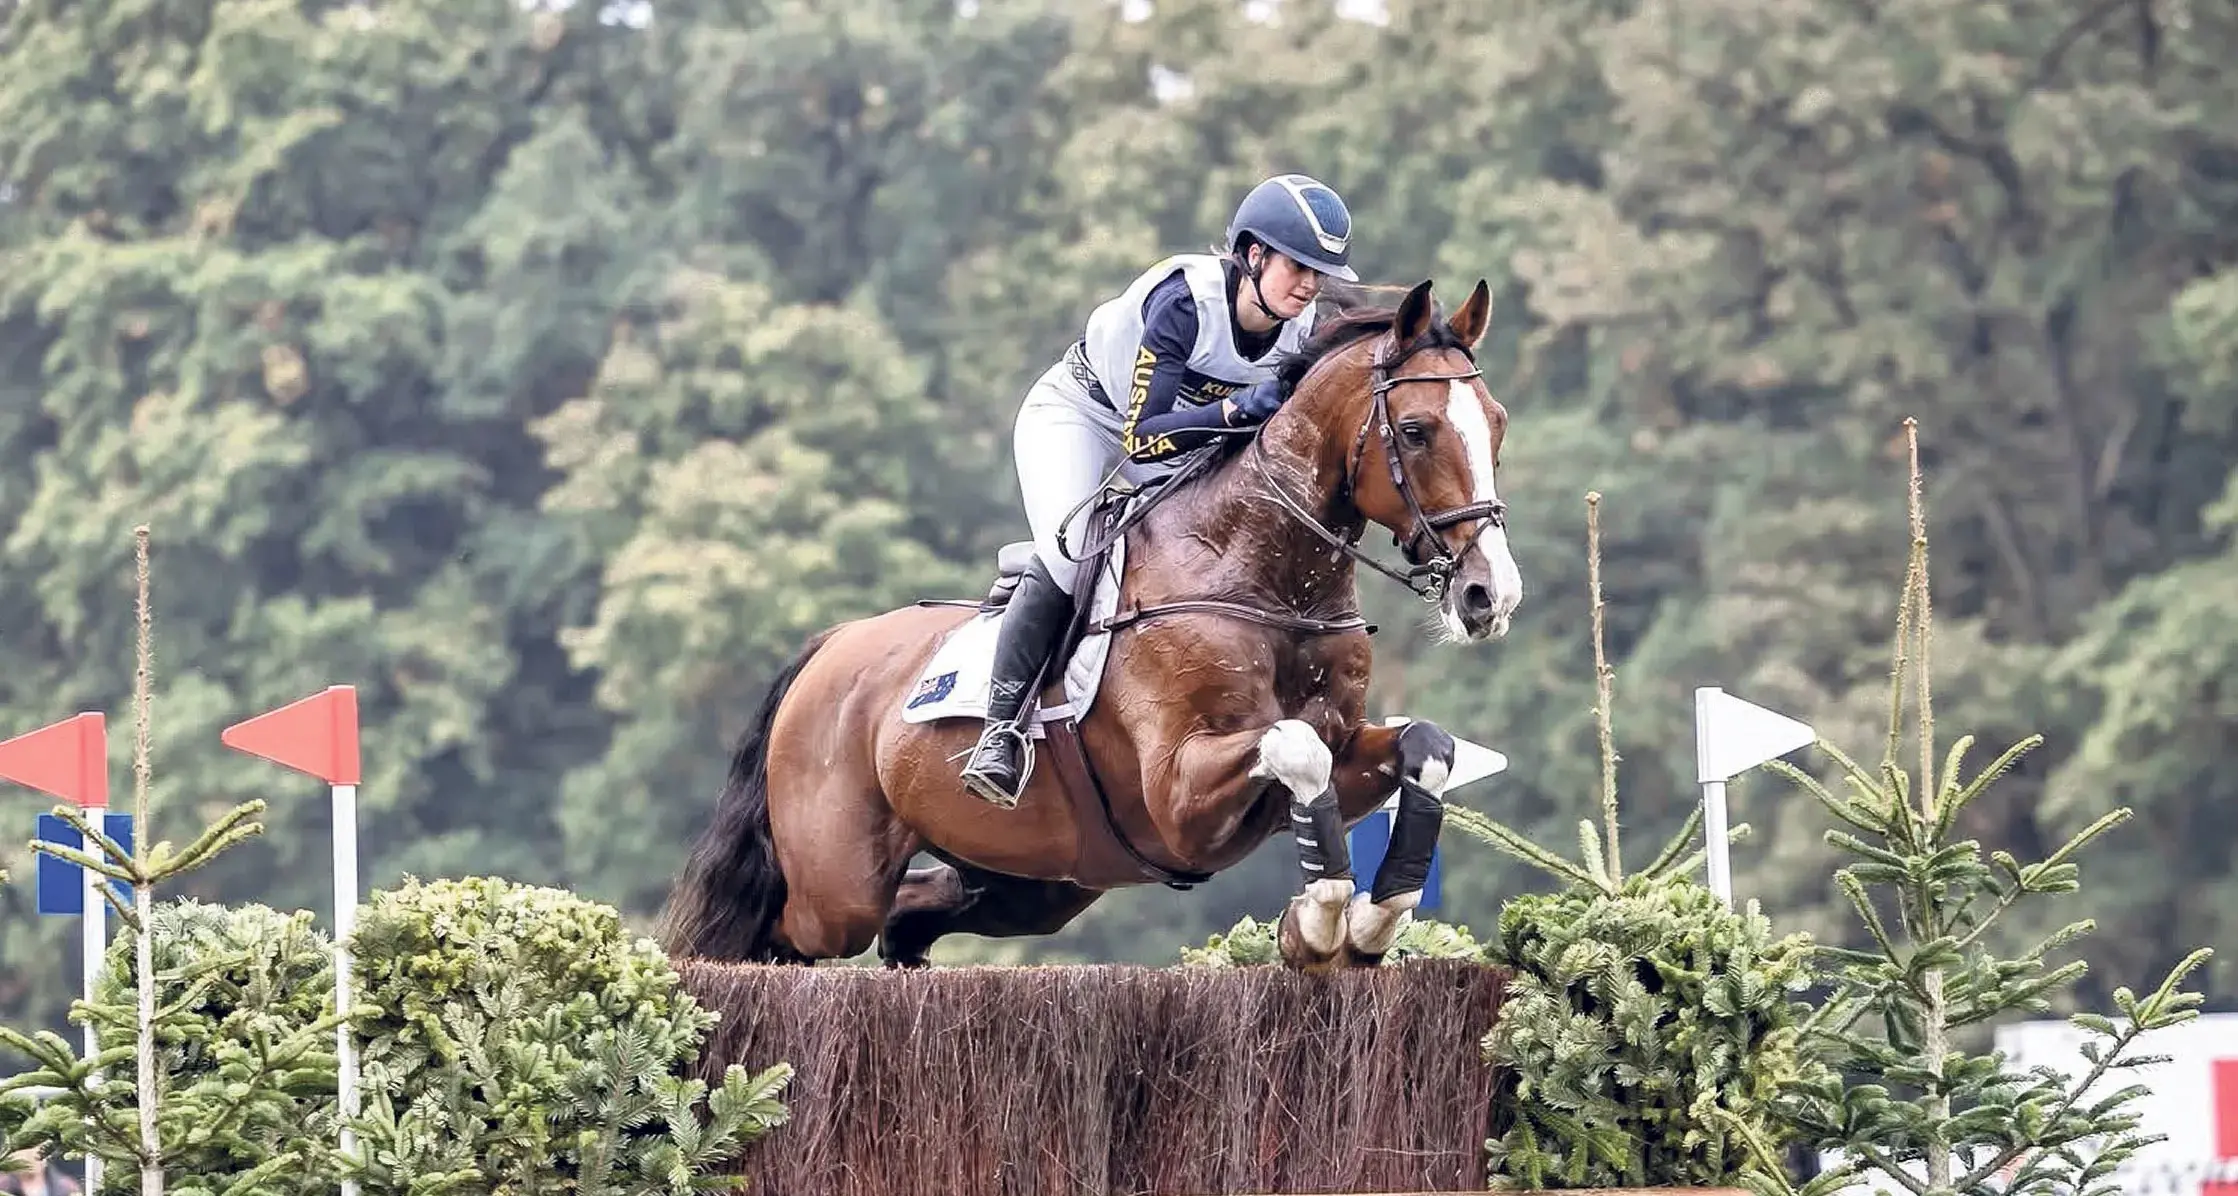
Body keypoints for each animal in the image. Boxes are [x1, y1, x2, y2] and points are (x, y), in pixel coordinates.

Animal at [657, 276, 1525, 971]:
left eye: (1497, 423)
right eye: (1415, 431)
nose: (1491, 594)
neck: (1265, 581)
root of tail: (830, 647)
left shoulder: (1337, 751)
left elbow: (1424, 749)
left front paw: (1370, 919)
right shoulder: (1180, 792)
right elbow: (1295, 746)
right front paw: (1317, 925)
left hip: (1033, 882)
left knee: (908, 920)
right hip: (836, 890)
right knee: (777, 933)